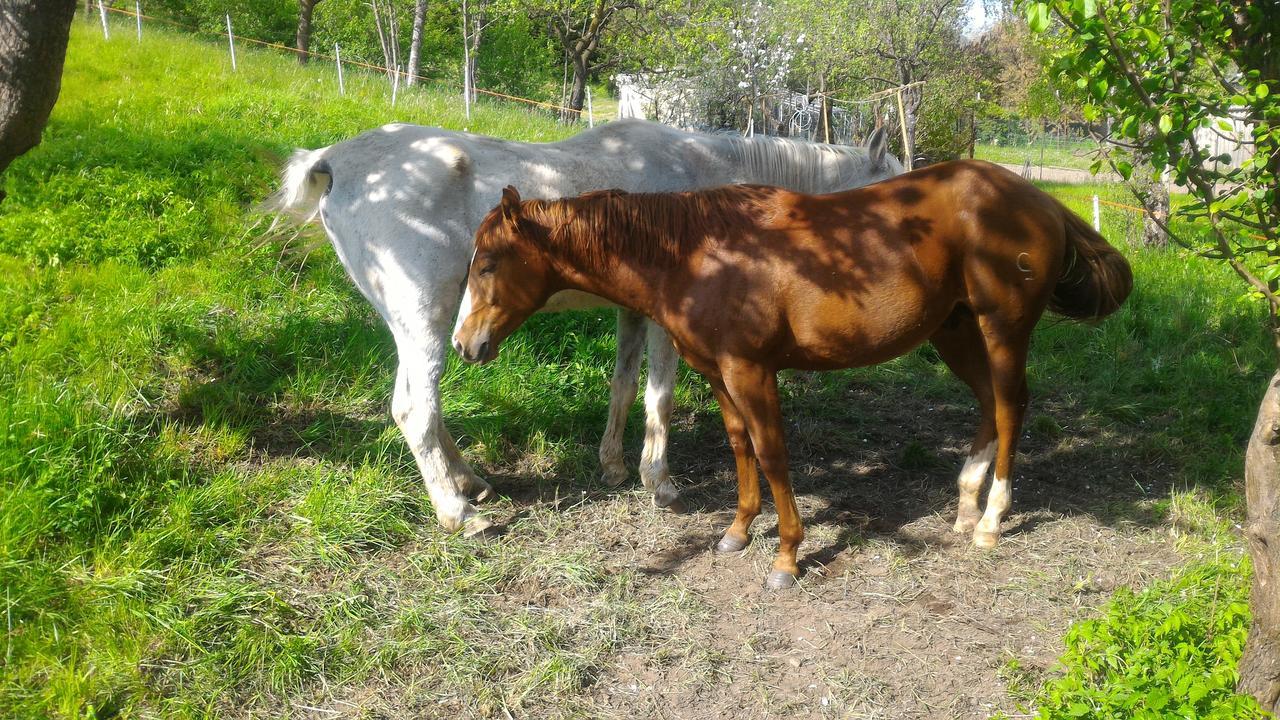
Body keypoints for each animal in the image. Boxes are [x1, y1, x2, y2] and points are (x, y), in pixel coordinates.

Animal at [270, 117, 901, 532]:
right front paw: (660, 482)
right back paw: (458, 513)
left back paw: (469, 483)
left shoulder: (633, 311)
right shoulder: (669, 321)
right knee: (413, 408)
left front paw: (615, 466)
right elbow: (660, 394)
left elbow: (623, 385)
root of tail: (336, 159)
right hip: (425, 317)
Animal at [450, 162, 1131, 589]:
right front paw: (738, 530)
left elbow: (773, 453)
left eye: (488, 263)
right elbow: (739, 446)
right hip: (956, 330)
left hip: (1002, 329)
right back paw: (965, 507)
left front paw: (786, 555)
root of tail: (1038, 200)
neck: (697, 253)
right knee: (989, 403)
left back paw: (991, 520)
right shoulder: (718, 373)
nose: (464, 345)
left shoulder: (753, 371)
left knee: (1012, 405)